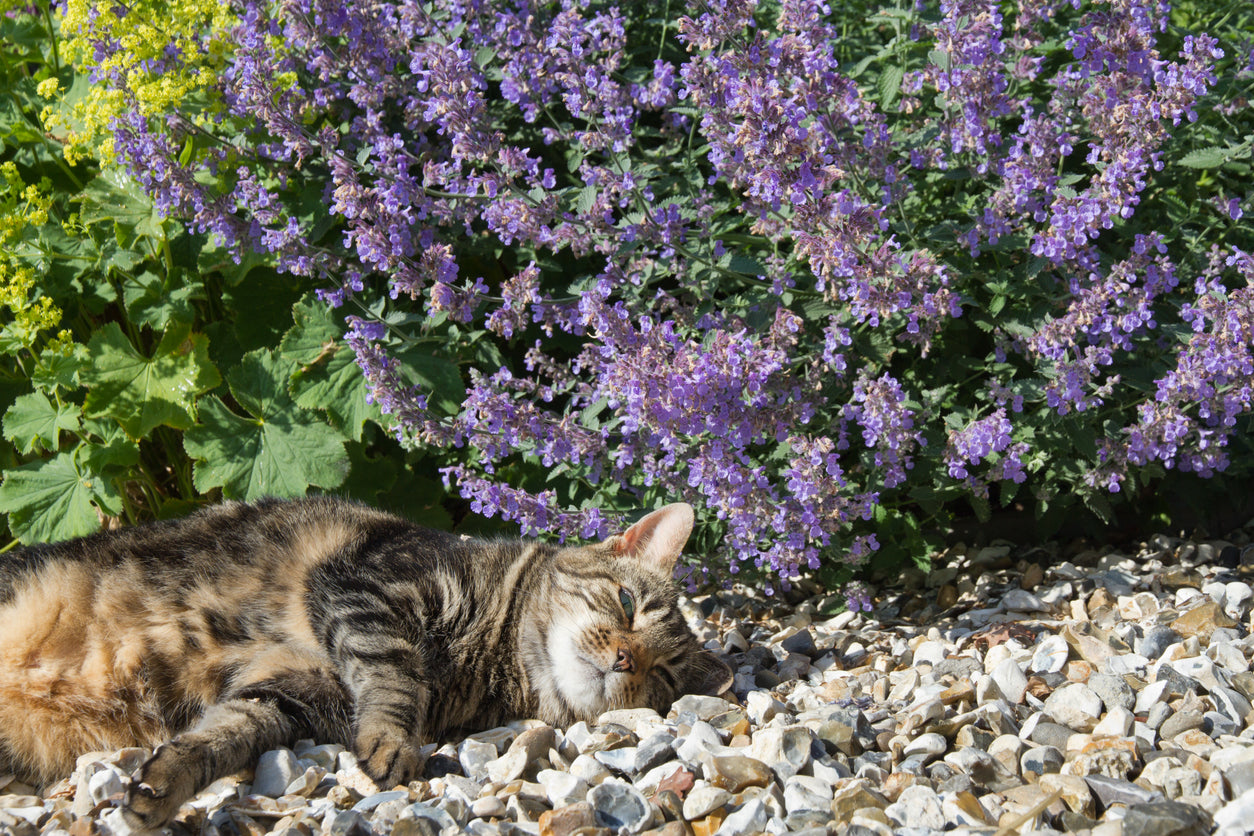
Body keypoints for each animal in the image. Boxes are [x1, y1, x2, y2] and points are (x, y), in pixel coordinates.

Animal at [0, 496, 732, 832]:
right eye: (629, 603)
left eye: (663, 676)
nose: (625, 658)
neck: (493, 656)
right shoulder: (368, 587)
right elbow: (393, 673)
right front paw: (389, 740)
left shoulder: (289, 694)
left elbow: (220, 737)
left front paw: (162, 783)